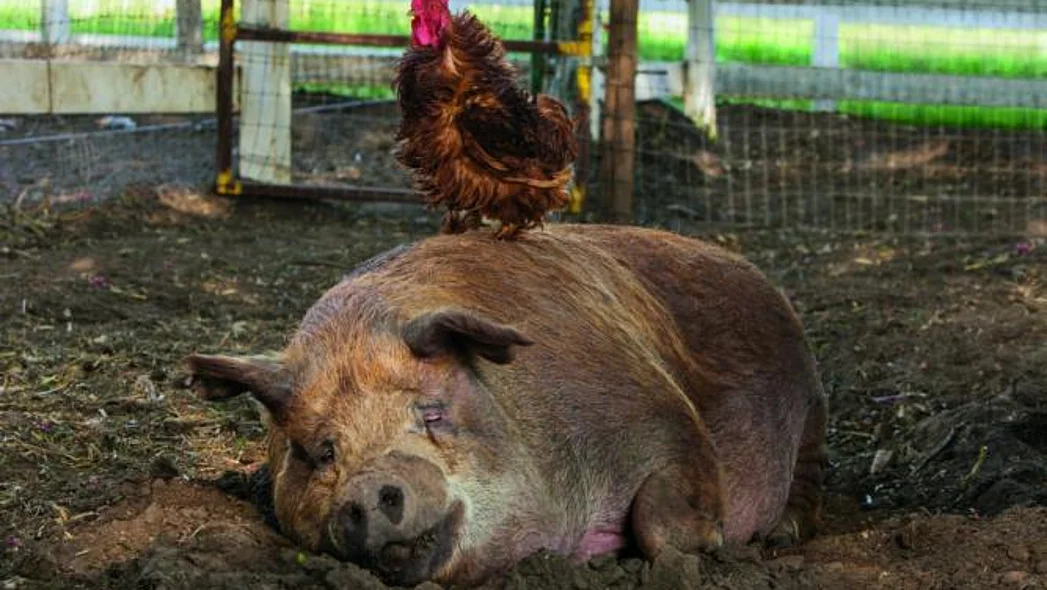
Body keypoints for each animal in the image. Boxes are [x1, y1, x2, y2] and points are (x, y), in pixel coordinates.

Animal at [186, 223, 828, 587]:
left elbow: (660, 517)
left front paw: (711, 545)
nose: (368, 488)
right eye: (319, 451)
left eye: (433, 412)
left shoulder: (667, 418)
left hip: (813, 404)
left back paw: (780, 537)